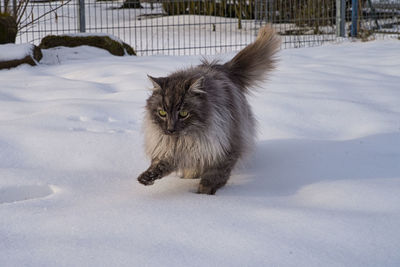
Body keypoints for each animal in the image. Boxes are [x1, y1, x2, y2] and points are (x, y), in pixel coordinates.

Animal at [138, 25, 282, 195]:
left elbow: (214, 175)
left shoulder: (225, 148)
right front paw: (147, 177)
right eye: (162, 113)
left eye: (183, 114)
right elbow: (159, 164)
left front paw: (203, 195)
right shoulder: (170, 150)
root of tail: (221, 68)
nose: (170, 129)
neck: (184, 140)